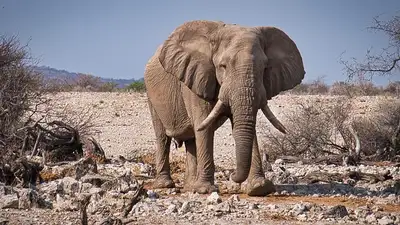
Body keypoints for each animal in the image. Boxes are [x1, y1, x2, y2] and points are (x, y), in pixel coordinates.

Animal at [145, 20, 304, 196]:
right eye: (223, 66)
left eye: (264, 68)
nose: (233, 175)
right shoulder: (196, 77)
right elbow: (203, 125)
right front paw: (205, 190)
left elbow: (243, 125)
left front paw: (259, 188)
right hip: (151, 95)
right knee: (163, 137)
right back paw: (166, 185)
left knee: (191, 140)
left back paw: (190, 187)